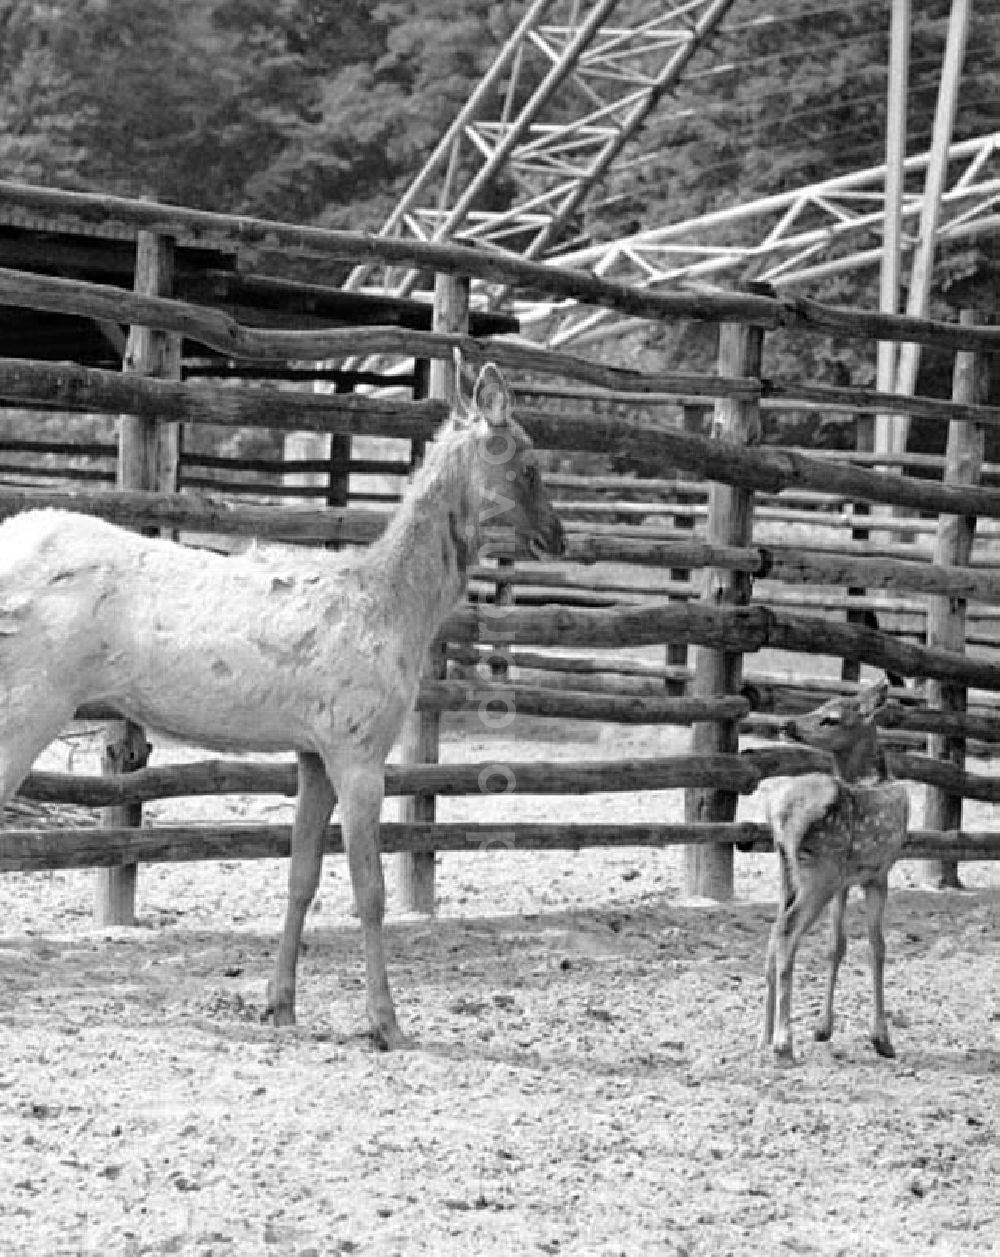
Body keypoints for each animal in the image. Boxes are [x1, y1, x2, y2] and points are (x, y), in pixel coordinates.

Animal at [0, 359, 562, 1045]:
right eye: (529, 461)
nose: (558, 537)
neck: (399, 613)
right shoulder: (357, 743)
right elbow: (370, 888)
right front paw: (386, 1025)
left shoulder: (312, 750)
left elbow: (301, 876)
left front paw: (281, 1004)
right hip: (32, 699)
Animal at [763, 678, 909, 1060]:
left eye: (830, 717)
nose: (786, 724)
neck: (873, 779)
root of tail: (784, 814)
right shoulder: (879, 872)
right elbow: (877, 947)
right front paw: (882, 1039)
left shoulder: (846, 881)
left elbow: (836, 945)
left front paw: (823, 1028)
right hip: (819, 875)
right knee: (787, 932)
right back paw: (783, 1041)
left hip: (788, 872)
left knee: (773, 933)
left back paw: (764, 1037)